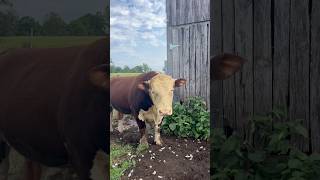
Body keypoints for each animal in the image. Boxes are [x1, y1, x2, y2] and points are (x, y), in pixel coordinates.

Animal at [110, 53, 245, 146]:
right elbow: (142, 129)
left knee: (119, 116)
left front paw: (158, 141)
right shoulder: (136, 112)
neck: (153, 108)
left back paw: (120, 130)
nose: (165, 110)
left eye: (172, 90)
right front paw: (143, 145)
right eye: (152, 91)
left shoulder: (159, 116)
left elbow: (157, 128)